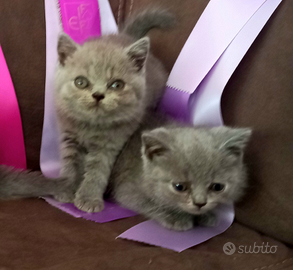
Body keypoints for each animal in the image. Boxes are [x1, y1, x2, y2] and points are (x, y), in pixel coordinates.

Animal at [54, 10, 175, 213]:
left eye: (116, 85)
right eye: (81, 82)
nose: (98, 95)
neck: (92, 126)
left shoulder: (111, 142)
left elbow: (98, 170)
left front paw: (88, 198)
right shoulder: (69, 134)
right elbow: (70, 162)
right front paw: (66, 188)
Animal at [110, 114, 251, 230]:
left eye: (217, 187)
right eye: (179, 187)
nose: (200, 203)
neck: (142, 172)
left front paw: (206, 215)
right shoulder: (127, 190)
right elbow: (150, 203)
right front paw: (176, 217)